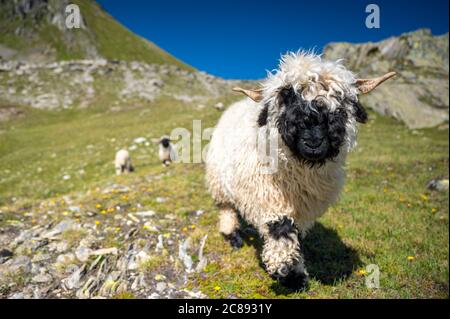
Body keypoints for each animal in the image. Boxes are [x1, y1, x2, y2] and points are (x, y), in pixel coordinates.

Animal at [206, 51, 396, 292]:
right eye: (286, 97)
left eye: (341, 103)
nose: (313, 141)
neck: (300, 171)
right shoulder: (269, 196)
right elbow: (281, 229)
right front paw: (287, 272)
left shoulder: (304, 206)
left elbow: (295, 232)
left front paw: (295, 273)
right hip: (218, 181)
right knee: (226, 208)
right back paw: (233, 236)